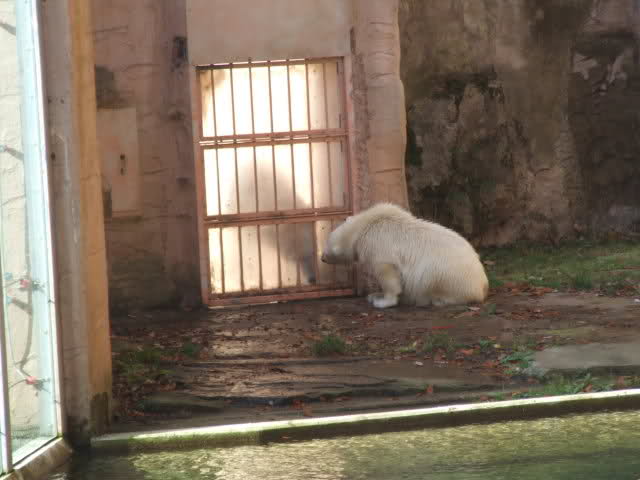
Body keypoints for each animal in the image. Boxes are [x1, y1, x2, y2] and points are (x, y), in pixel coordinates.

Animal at [320, 202, 489, 309]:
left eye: (326, 245)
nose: (322, 258)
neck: (365, 226)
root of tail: (482, 284)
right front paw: (374, 295)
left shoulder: (379, 245)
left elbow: (387, 272)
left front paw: (383, 302)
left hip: (445, 275)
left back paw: (434, 300)